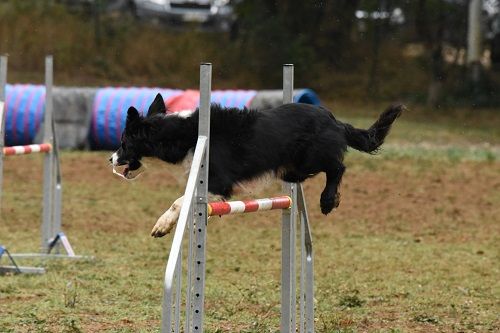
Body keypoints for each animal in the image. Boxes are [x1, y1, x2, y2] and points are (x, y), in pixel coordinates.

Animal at [109, 93, 402, 236]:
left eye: (124, 143)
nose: (109, 158)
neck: (181, 135)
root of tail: (333, 119)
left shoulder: (217, 183)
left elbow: (178, 202)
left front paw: (162, 225)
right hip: (293, 170)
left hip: (308, 159)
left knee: (338, 168)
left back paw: (329, 200)